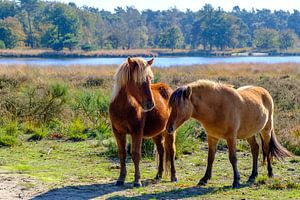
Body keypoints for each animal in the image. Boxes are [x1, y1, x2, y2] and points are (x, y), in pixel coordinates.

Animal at [109, 56, 177, 188]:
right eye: (137, 81)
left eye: (150, 79)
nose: (150, 104)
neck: (123, 108)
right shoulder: (118, 132)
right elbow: (122, 153)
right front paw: (120, 179)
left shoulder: (137, 132)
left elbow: (136, 154)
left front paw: (137, 181)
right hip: (157, 133)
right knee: (161, 150)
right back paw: (158, 175)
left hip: (169, 131)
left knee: (171, 151)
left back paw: (173, 176)